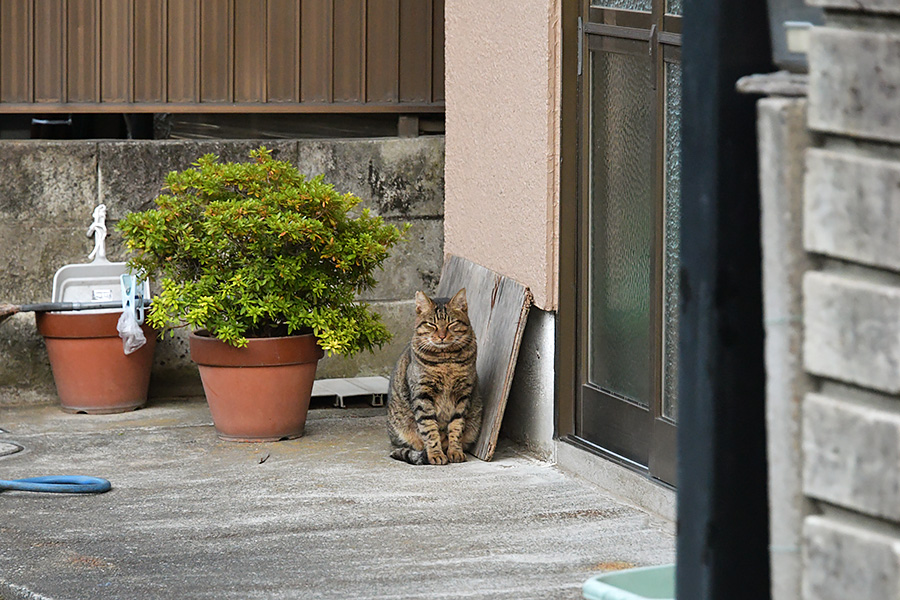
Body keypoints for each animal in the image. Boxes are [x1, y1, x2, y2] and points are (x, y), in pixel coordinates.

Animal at [388, 288, 486, 466]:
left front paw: (455, 451)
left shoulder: (463, 394)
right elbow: (429, 429)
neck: (445, 360)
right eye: (431, 324)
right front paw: (435, 454)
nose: (441, 336)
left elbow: (456, 426)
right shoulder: (422, 394)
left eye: (451, 324)